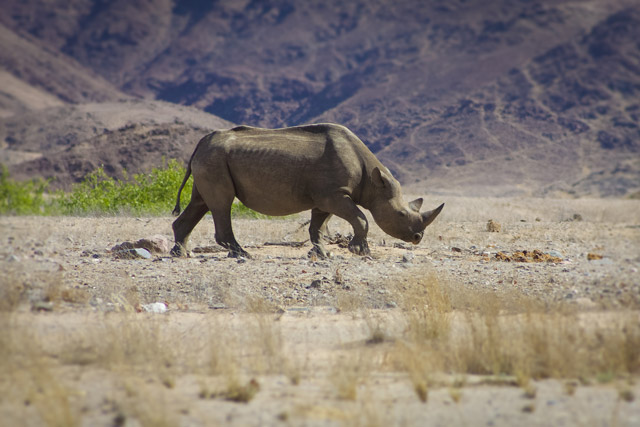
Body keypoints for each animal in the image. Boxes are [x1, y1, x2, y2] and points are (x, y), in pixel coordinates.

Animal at [171, 123, 444, 258]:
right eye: (401, 215)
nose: (417, 238)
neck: (373, 181)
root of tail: (200, 143)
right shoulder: (334, 194)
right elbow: (361, 218)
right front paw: (360, 252)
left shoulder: (326, 197)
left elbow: (318, 226)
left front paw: (322, 253)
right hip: (215, 159)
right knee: (221, 204)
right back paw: (243, 254)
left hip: (211, 158)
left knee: (201, 202)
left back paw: (180, 254)